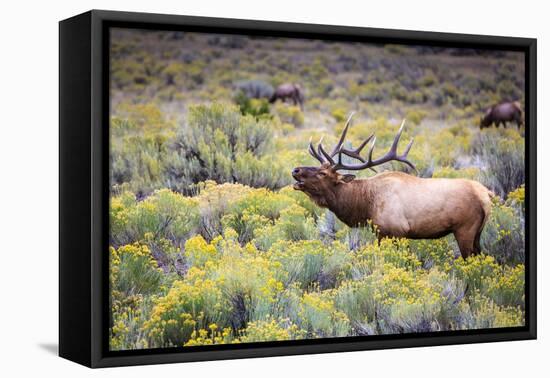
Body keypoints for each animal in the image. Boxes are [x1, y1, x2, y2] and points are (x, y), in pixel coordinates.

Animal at [294, 113, 496, 258]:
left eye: (323, 173)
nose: (295, 170)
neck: (365, 205)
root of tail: (486, 194)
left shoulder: (395, 231)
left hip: (465, 229)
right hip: (477, 233)